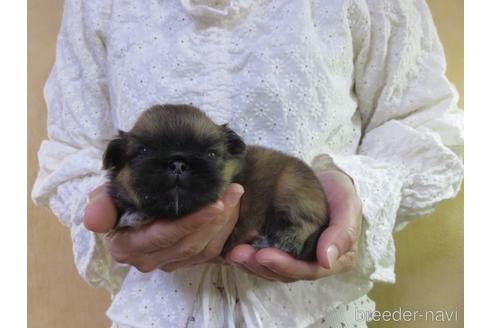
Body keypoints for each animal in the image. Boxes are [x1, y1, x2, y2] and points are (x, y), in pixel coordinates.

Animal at [103, 104, 330, 260]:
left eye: (210, 154)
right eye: (143, 151)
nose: (178, 163)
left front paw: (137, 215)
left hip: (290, 188)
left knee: (302, 228)